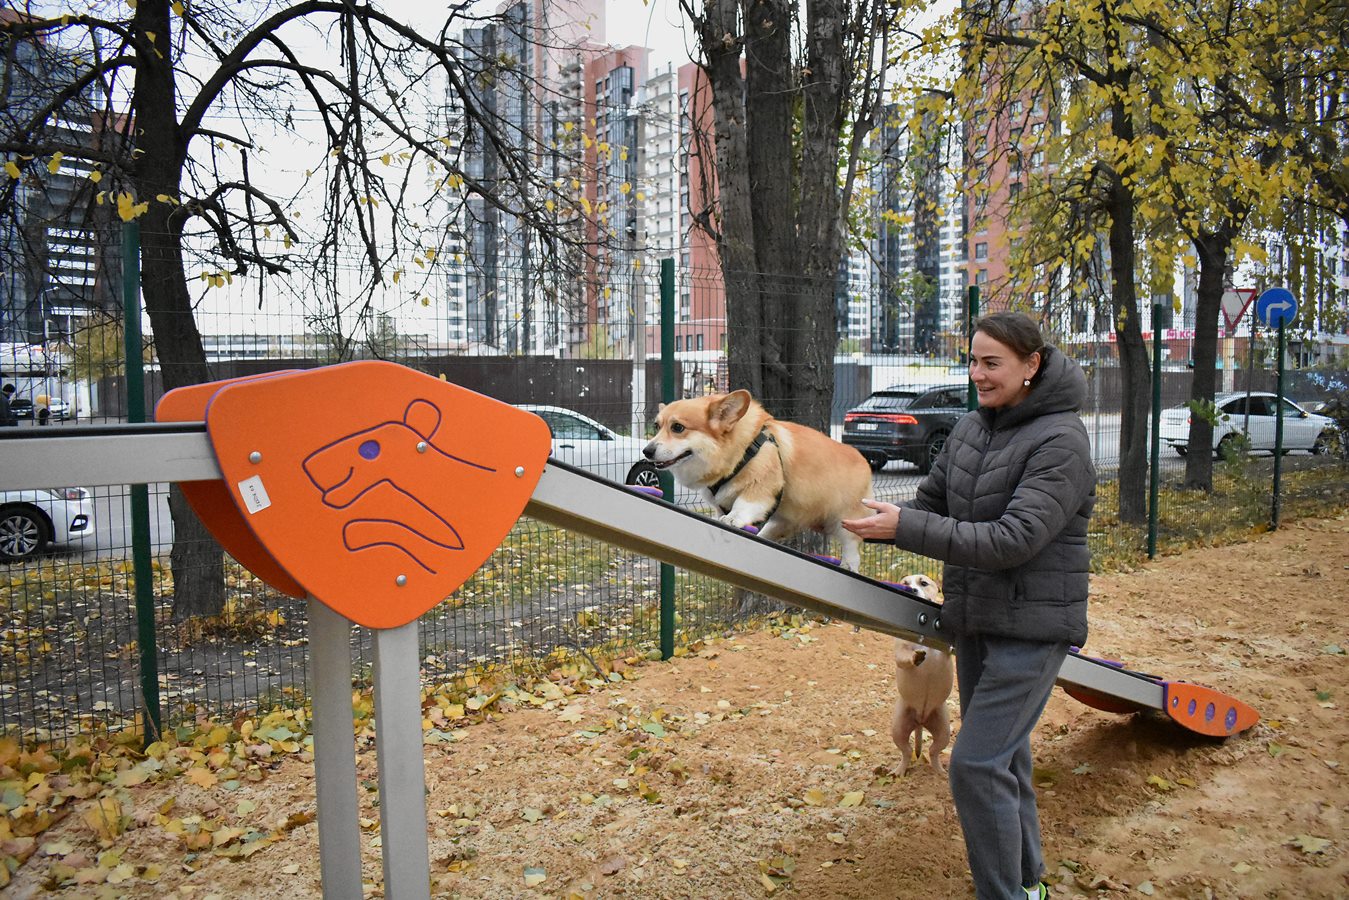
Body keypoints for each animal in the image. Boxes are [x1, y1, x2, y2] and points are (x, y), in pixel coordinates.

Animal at [636, 388, 868, 569]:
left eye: (677, 427)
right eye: (657, 426)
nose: (646, 451)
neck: (739, 451)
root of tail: (863, 460)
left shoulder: (761, 489)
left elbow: (744, 505)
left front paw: (733, 518)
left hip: (846, 520)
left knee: (851, 547)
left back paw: (848, 564)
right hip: (782, 521)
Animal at [890, 577, 955, 777]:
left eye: (924, 583)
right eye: (904, 583)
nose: (912, 590)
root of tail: (921, 721)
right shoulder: (901, 651)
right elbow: (903, 656)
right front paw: (915, 657)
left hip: (943, 729)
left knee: (934, 751)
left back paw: (940, 771)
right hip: (898, 728)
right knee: (907, 751)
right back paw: (899, 771)